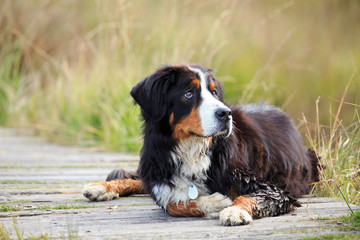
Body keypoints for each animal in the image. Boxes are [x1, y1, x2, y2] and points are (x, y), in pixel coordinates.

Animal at [83, 63, 320, 225]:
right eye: (189, 94)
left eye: (214, 93)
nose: (226, 114)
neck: (192, 148)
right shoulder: (163, 176)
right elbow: (174, 203)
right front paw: (214, 202)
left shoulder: (273, 189)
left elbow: (246, 196)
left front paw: (234, 210)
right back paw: (100, 187)